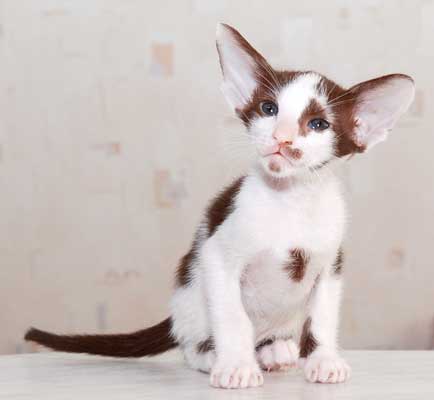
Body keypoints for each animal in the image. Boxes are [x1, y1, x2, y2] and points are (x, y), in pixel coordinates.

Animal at [25, 24, 416, 388]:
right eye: (269, 109)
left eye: (318, 124)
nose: (281, 138)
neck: (287, 201)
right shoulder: (216, 254)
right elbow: (232, 316)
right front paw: (237, 367)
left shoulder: (329, 262)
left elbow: (322, 315)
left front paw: (324, 361)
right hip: (191, 295)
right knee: (190, 344)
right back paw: (215, 356)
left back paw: (275, 350)